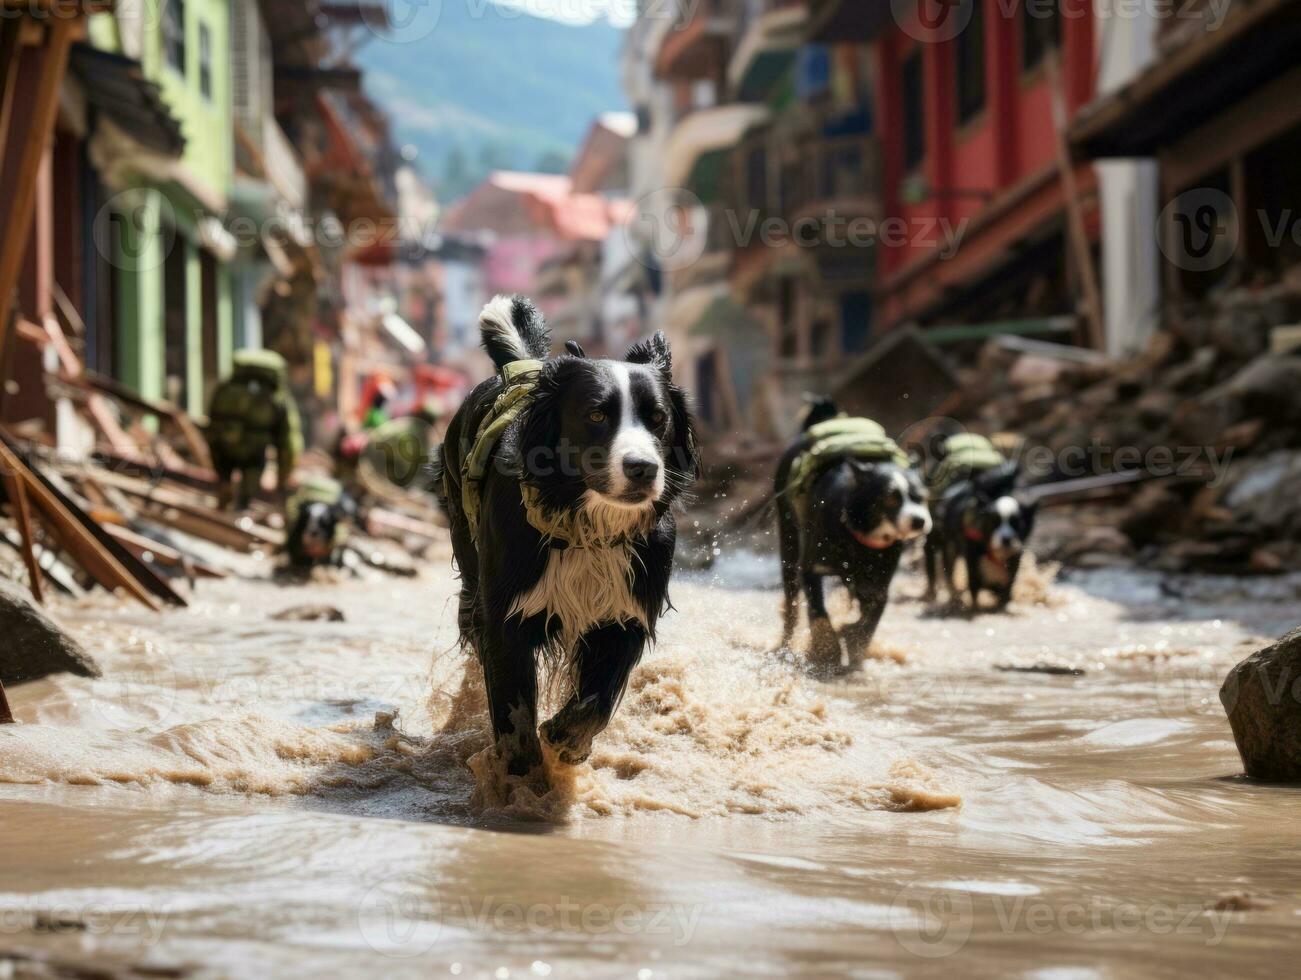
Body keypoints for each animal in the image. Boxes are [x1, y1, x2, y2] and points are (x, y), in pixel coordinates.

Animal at [434, 294, 702, 775]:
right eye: (595, 414)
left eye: (658, 418)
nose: (642, 468)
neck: (586, 528)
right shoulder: (507, 612)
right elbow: (515, 709)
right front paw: (522, 777)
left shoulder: (625, 614)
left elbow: (596, 701)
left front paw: (565, 742)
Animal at [926, 463, 1035, 609]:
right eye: (994, 522)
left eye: (1016, 523)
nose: (1006, 539)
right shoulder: (972, 557)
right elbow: (974, 586)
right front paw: (975, 605)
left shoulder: (1014, 559)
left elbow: (1007, 589)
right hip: (949, 548)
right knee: (948, 573)